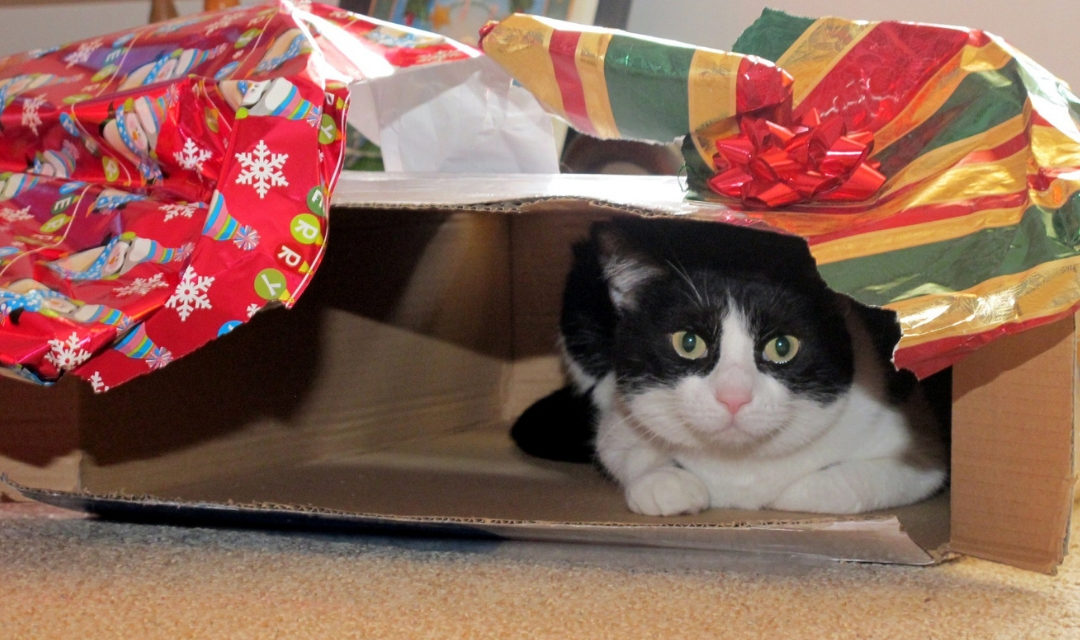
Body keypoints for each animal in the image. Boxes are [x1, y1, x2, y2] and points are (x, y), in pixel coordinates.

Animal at [514, 216, 946, 515]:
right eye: (688, 343)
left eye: (782, 346)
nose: (733, 398)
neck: (740, 465)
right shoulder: (617, 418)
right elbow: (621, 447)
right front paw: (664, 482)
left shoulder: (919, 441)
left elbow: (856, 483)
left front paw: (792, 494)